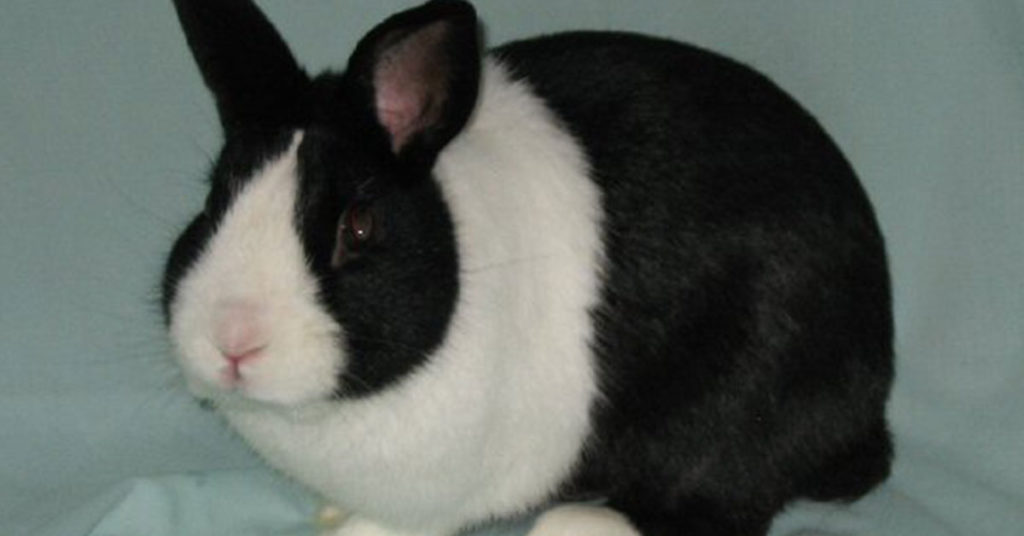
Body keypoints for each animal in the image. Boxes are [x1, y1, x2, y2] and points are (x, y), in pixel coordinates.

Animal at [161, 1, 894, 535]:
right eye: (213, 201)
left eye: (359, 227)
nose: (233, 343)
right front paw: (331, 512)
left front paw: (352, 531)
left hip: (750, 391)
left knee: (724, 499)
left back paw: (582, 524)